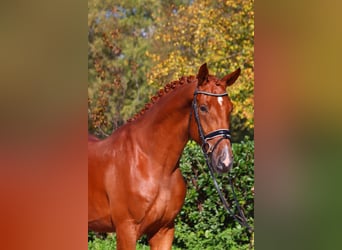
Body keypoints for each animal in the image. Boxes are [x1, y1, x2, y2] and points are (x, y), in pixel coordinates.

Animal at [88, 63, 240, 249]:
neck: (152, 162)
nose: (225, 161)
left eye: (230, 108)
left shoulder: (164, 230)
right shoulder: (126, 230)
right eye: (203, 108)